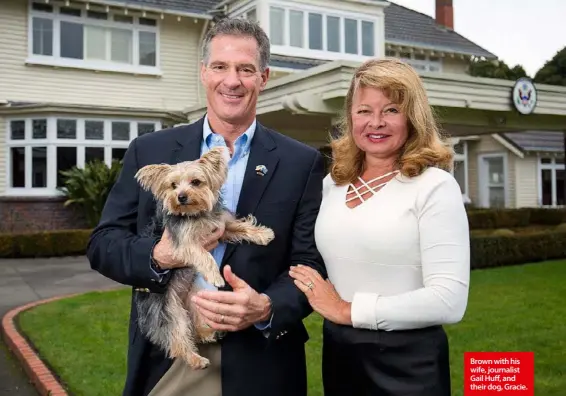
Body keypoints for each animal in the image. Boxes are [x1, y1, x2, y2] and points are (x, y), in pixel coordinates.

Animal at [133, 147, 276, 370]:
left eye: (196, 182)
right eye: (173, 185)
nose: (181, 196)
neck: (195, 214)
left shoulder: (221, 227)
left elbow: (239, 226)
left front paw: (262, 234)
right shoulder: (183, 244)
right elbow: (204, 255)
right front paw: (216, 276)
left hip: (194, 299)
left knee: (195, 325)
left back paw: (209, 333)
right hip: (169, 310)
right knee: (178, 338)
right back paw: (195, 359)